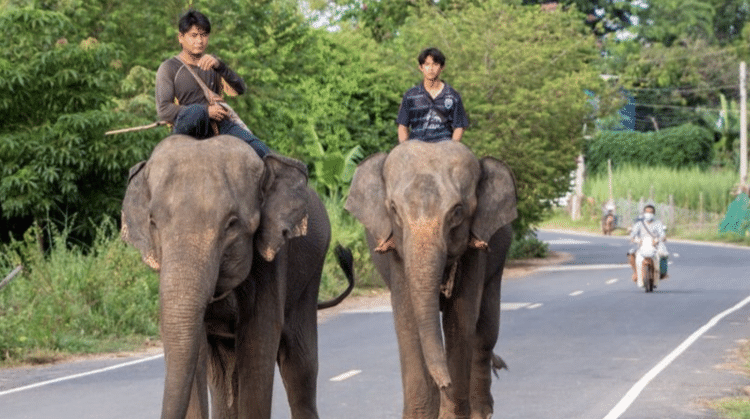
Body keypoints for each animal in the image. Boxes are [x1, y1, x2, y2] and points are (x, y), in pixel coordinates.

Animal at [122, 135, 356, 419]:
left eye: (232, 224)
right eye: (153, 223)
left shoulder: (271, 258)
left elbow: (258, 340)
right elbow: (195, 347)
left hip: (311, 273)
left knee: (300, 367)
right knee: (225, 376)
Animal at [346, 140, 516, 419]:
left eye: (457, 212)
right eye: (394, 209)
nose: (445, 383)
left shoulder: (474, 251)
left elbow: (460, 321)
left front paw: (453, 412)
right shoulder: (397, 254)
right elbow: (408, 323)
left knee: (485, 332)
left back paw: (481, 411)